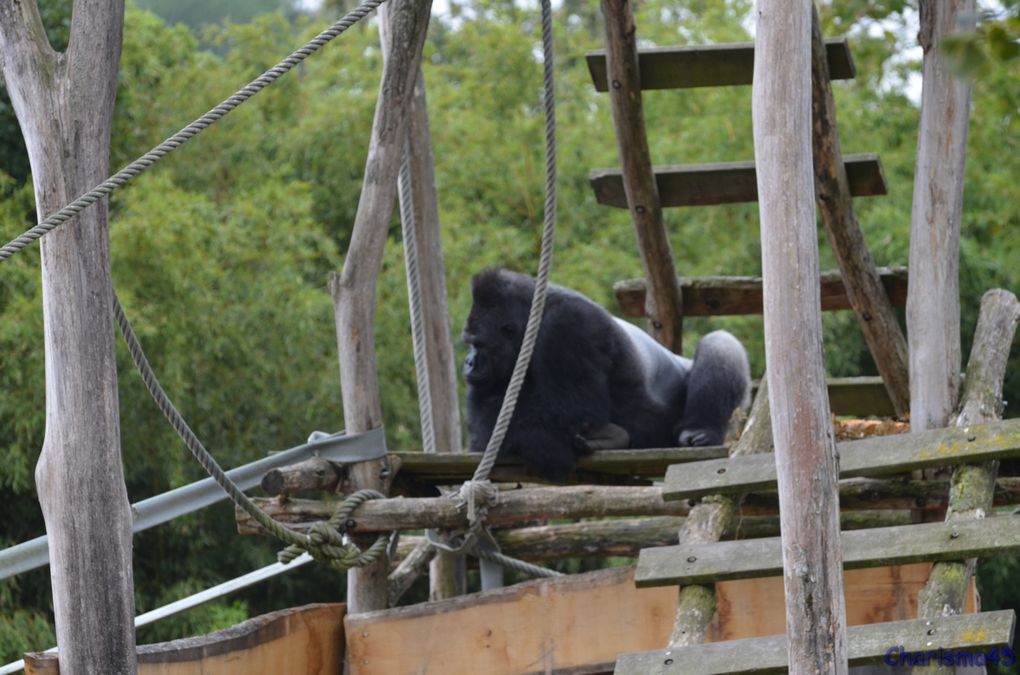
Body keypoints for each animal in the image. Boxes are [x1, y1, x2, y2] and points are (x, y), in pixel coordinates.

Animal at [467, 267, 754, 483]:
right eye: (469, 343)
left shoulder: (567, 324)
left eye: (478, 344)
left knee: (720, 343)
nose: (469, 363)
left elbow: (570, 411)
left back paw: (699, 429)